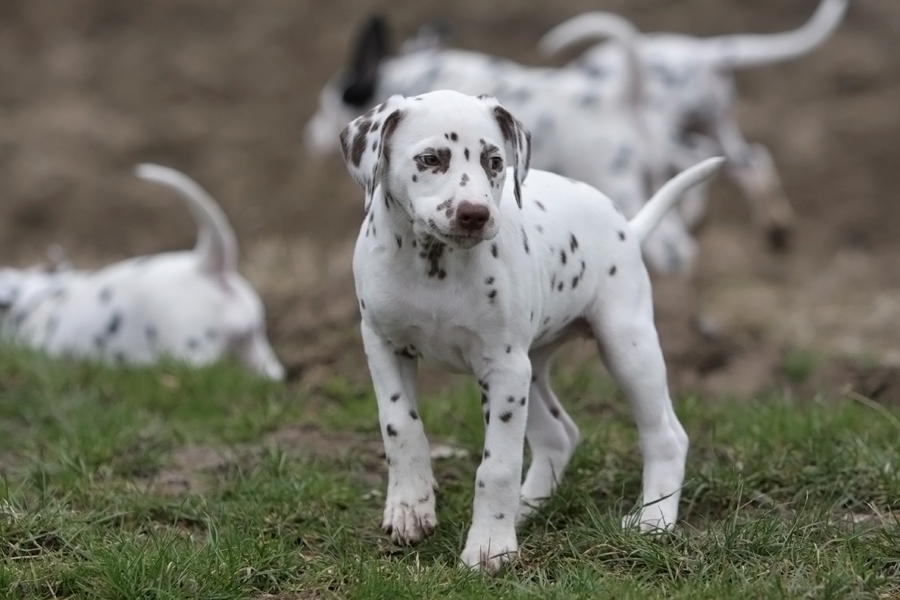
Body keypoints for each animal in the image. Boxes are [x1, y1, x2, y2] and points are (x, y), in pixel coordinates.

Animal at [338, 89, 724, 572]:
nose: (475, 214)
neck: (434, 265)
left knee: (666, 437)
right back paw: (526, 508)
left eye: (494, 161)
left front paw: (489, 545)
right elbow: (400, 427)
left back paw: (654, 519)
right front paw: (410, 508)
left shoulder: (503, 370)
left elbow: (497, 465)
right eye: (430, 159)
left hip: (625, 347)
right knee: (560, 434)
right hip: (532, 367)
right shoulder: (384, 345)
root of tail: (626, 227)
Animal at [540, 0, 852, 246]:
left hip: (671, 136)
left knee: (703, 162)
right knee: (754, 161)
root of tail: (705, 54)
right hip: (716, 127)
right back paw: (775, 225)